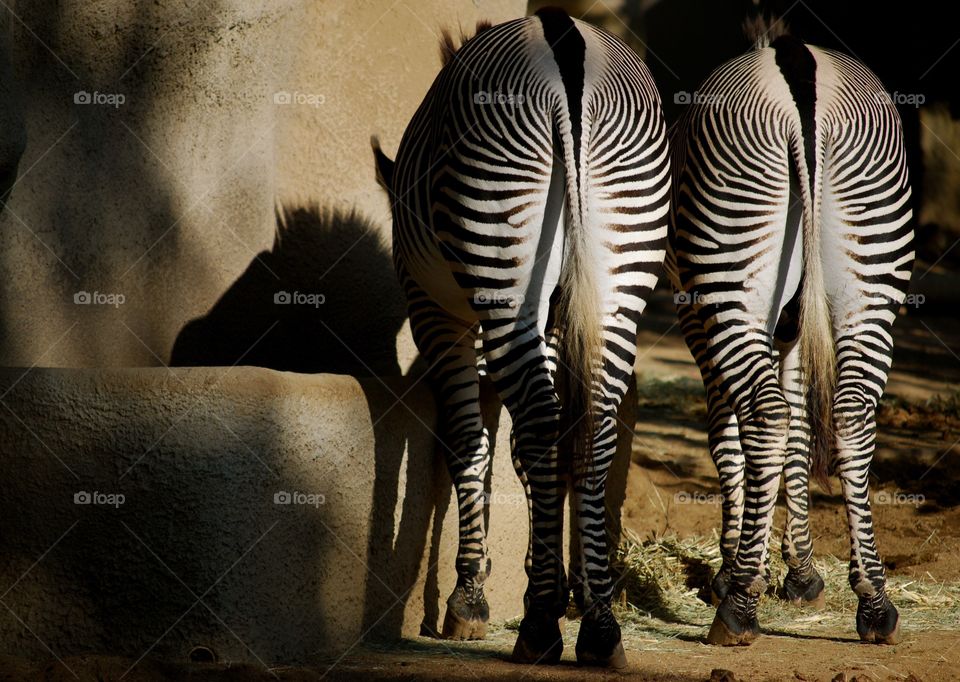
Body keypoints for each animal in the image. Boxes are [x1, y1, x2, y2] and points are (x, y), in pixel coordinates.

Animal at [373, 7, 670, 668]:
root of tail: (565, 40)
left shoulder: (433, 311)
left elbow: (468, 442)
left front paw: (470, 598)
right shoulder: (558, 321)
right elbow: (540, 449)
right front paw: (560, 582)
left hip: (500, 252)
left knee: (536, 420)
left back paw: (537, 628)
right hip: (619, 267)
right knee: (594, 425)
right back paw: (600, 624)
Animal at [668, 24, 914, 646]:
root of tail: (800, 73)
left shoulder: (696, 319)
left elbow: (727, 436)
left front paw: (735, 566)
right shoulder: (797, 327)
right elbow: (801, 432)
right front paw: (799, 568)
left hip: (727, 269)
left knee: (763, 414)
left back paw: (737, 610)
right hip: (870, 259)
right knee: (849, 414)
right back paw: (874, 603)